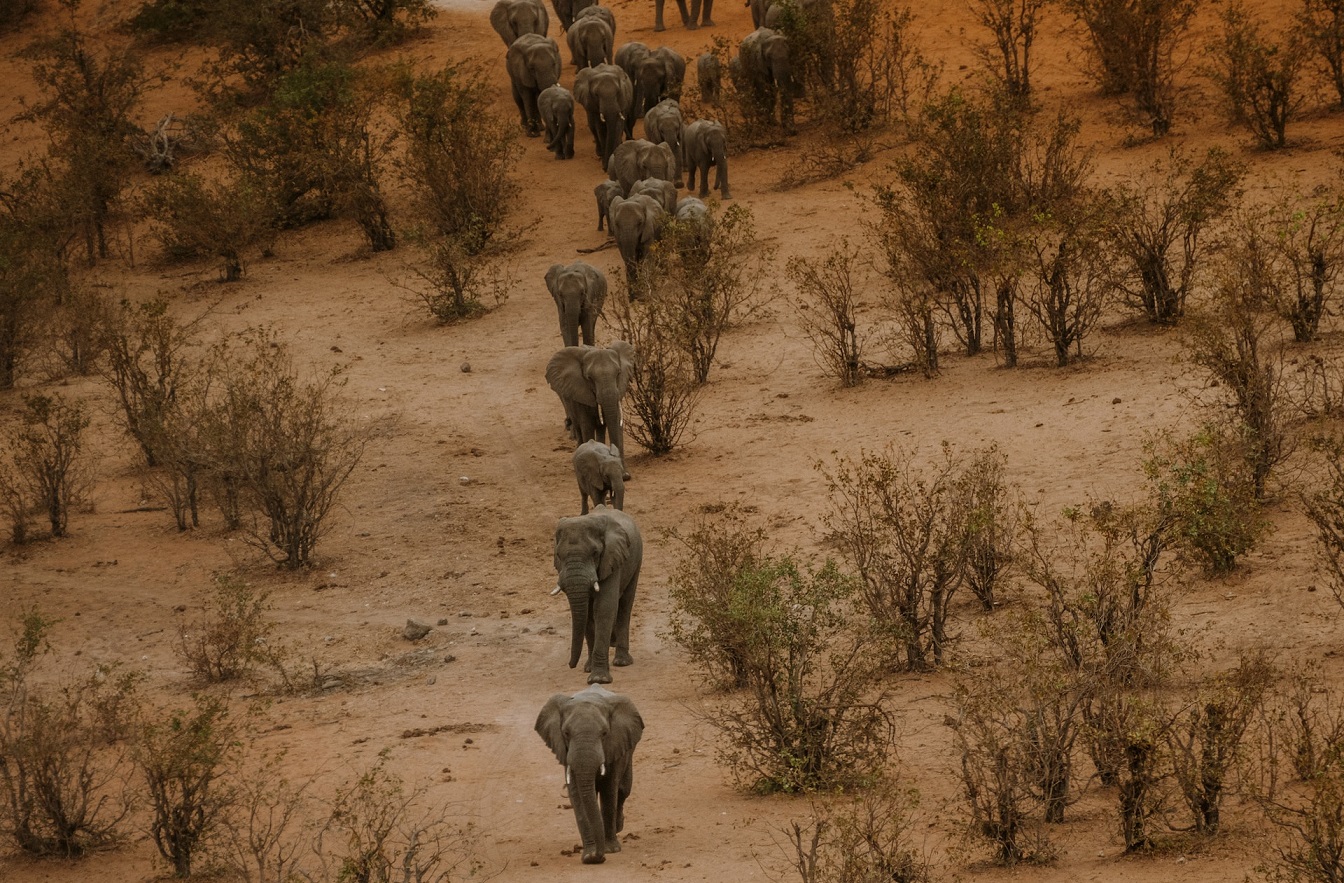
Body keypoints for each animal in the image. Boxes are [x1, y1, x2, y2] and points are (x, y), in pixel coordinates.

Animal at [551, 505, 645, 685]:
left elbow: (604, 608)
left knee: (625, 605)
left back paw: (622, 662)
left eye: (595, 553)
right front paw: (589, 669)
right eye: (558, 555)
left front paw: (599, 680)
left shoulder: (611, 558)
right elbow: (587, 612)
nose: (571, 665)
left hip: (637, 558)